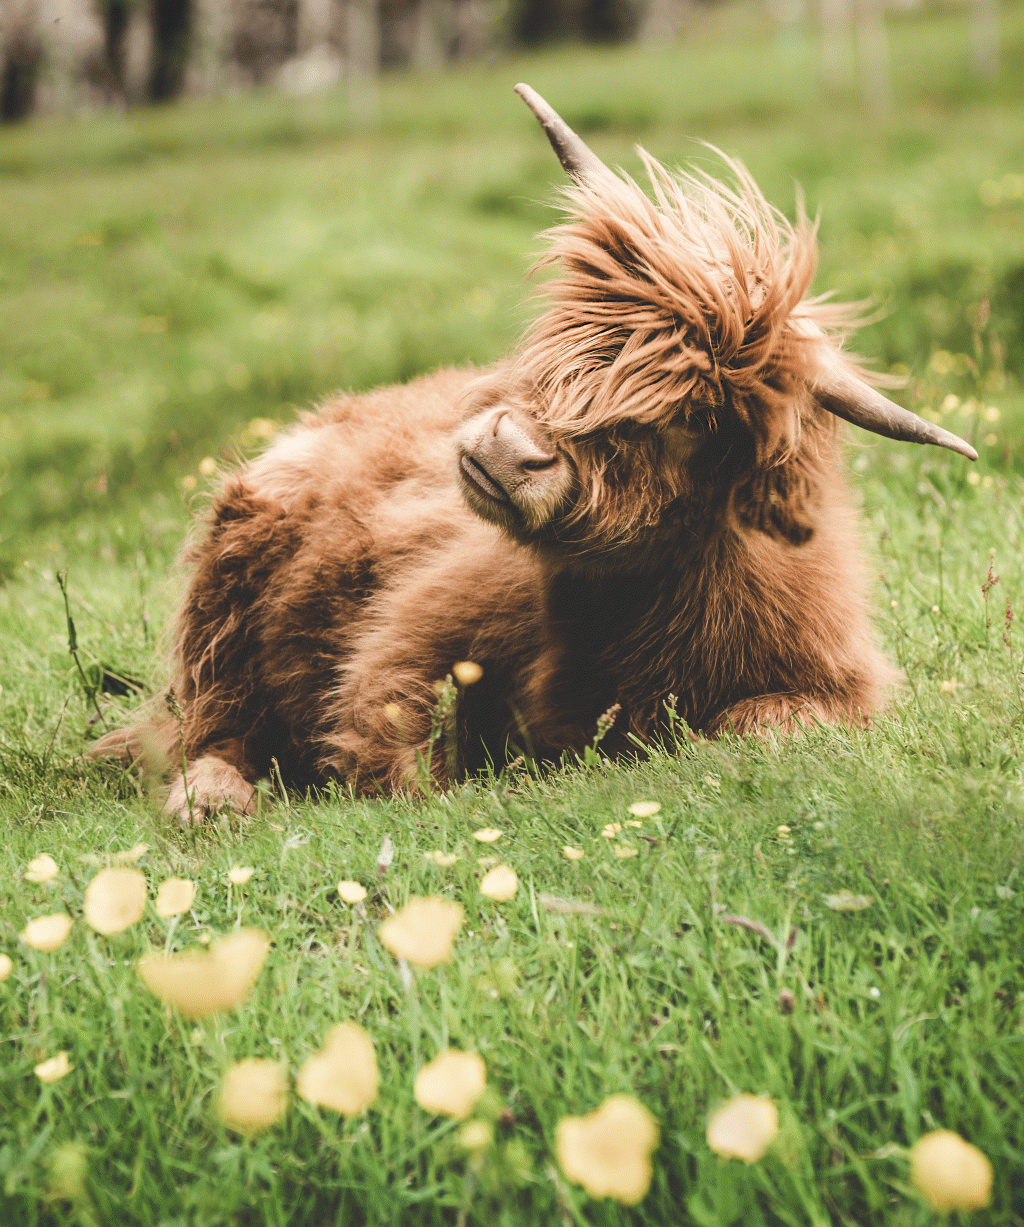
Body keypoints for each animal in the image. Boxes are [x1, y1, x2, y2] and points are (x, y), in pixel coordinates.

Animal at [93, 84, 976, 814]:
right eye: (565, 334)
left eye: (693, 421)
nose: (510, 449)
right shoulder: (408, 640)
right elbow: (398, 754)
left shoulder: (838, 689)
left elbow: (754, 725)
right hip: (232, 574)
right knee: (209, 724)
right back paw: (211, 800)